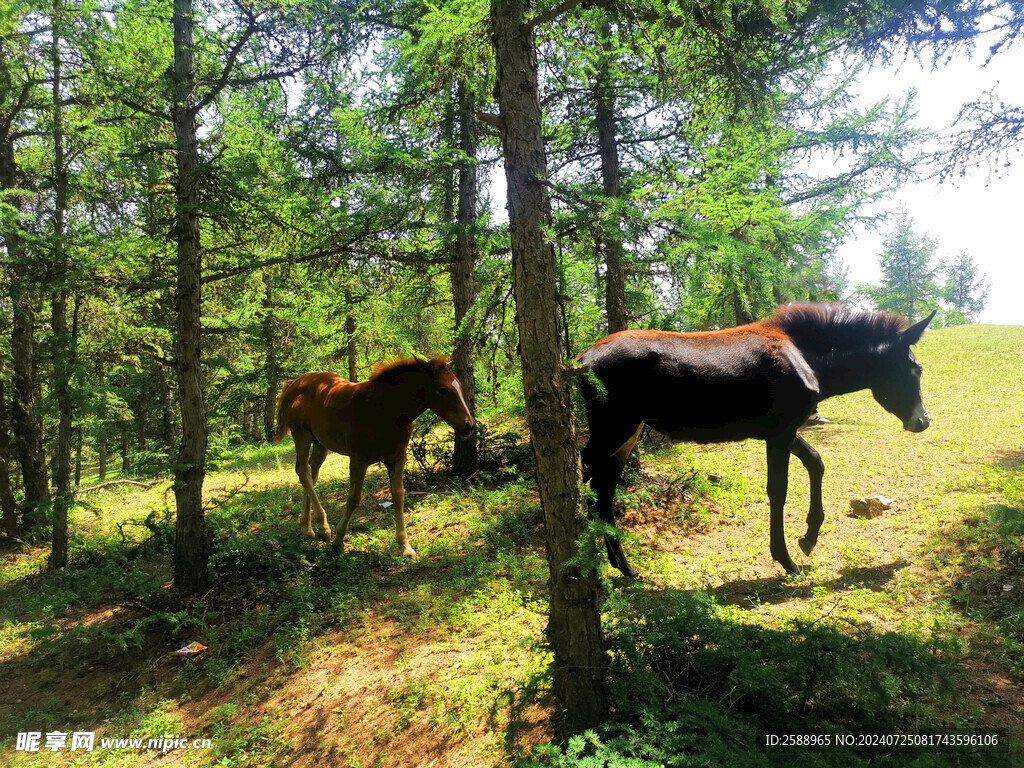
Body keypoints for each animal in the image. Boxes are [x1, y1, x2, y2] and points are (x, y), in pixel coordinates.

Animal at [274, 358, 477, 557]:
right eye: (442, 390)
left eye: (460, 386)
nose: (469, 425)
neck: (385, 411)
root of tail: (294, 383)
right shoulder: (358, 460)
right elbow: (353, 498)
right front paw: (339, 539)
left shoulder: (398, 459)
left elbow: (398, 496)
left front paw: (405, 546)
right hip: (301, 434)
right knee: (303, 471)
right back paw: (323, 527)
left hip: (320, 443)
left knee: (311, 473)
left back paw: (307, 527)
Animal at [581, 305, 933, 577]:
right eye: (916, 369)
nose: (923, 421)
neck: (811, 361)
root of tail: (583, 360)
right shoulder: (780, 433)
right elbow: (779, 491)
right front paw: (786, 559)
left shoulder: (783, 431)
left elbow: (816, 462)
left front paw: (809, 538)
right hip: (613, 428)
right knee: (586, 478)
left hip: (627, 435)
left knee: (603, 489)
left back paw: (621, 566)